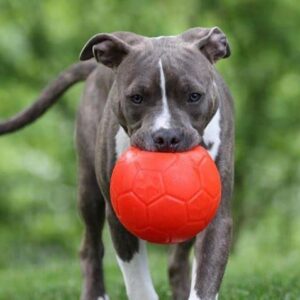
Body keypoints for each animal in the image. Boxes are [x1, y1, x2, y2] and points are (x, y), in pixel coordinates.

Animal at [0, 26, 234, 300]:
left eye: (194, 96)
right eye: (136, 98)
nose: (166, 136)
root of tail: (95, 69)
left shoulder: (217, 216)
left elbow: (206, 276)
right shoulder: (118, 216)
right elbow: (138, 282)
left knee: (177, 259)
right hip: (88, 191)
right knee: (89, 246)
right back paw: (96, 293)